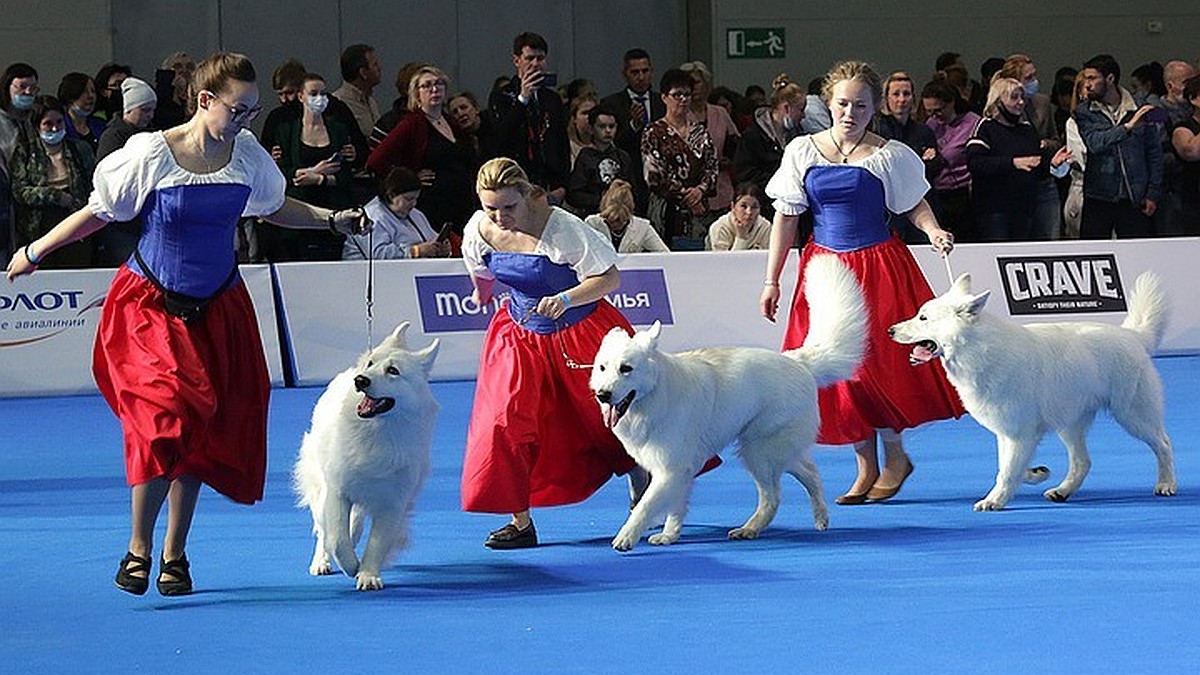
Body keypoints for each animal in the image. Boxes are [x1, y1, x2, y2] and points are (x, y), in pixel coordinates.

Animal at [290, 321, 441, 588]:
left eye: (393, 371)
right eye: (371, 363)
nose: (360, 380)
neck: (377, 432)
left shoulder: (393, 503)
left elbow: (376, 543)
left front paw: (368, 574)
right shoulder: (337, 492)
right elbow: (337, 539)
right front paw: (351, 566)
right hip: (321, 487)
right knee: (323, 530)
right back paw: (321, 562)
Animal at [588, 254, 864, 550]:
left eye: (626, 369)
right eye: (603, 368)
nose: (603, 395)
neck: (655, 394)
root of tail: (797, 361)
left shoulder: (670, 469)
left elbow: (645, 506)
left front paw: (626, 537)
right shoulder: (678, 471)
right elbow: (675, 507)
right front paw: (670, 535)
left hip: (759, 451)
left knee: (774, 495)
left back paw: (750, 529)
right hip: (766, 450)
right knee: (809, 472)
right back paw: (816, 518)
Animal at [888, 270, 1176, 506]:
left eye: (923, 318)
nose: (890, 330)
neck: (980, 349)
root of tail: (1132, 336)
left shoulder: (1019, 433)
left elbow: (1006, 471)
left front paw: (994, 501)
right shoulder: (1007, 433)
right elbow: (1007, 466)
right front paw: (1035, 473)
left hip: (1133, 416)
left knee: (1163, 444)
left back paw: (1166, 484)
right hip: (1069, 425)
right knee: (1083, 462)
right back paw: (1062, 491)